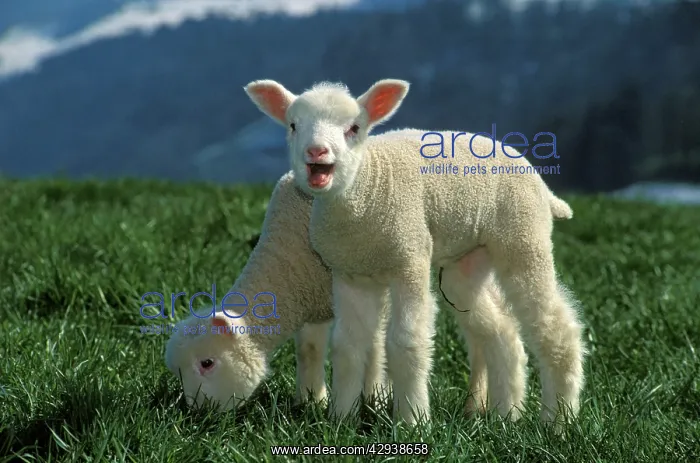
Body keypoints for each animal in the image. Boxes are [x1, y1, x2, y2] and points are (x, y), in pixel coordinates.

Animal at [164, 171, 529, 418]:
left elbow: (376, 346)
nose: (196, 413)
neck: (289, 256)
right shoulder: (312, 302)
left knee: (486, 334)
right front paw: (312, 400)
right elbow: (310, 351)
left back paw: (477, 404)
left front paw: (376, 398)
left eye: (207, 363)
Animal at [243, 78, 585, 428]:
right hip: (467, 263)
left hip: (523, 238)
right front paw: (341, 420)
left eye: (354, 128)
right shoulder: (350, 274)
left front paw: (412, 421)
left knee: (556, 327)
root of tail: (542, 185)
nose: (316, 152)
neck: (364, 188)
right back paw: (507, 415)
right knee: (501, 330)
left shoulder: (409, 260)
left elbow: (406, 343)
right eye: (293, 125)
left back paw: (559, 420)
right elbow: (348, 346)